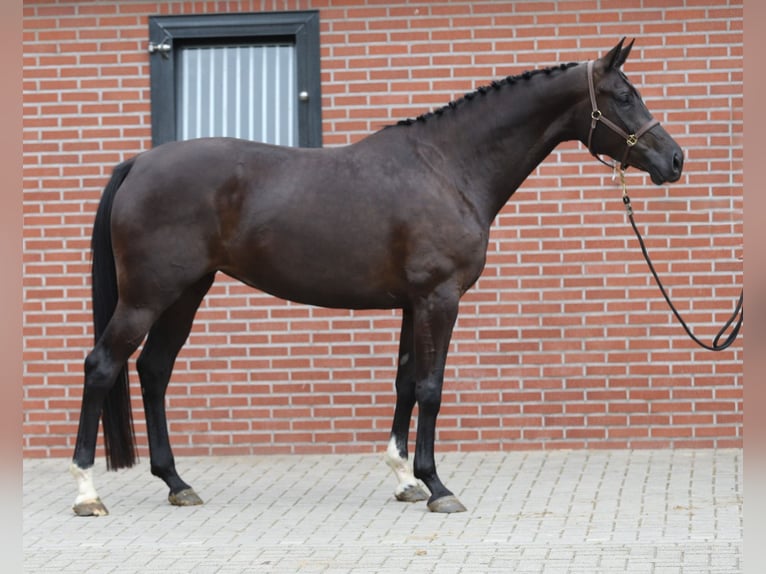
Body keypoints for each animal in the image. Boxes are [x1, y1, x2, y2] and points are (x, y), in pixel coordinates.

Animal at [70, 39, 683, 516]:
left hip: (185, 293)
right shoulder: (439, 299)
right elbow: (432, 388)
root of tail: (138, 164)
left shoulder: (413, 304)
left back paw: (177, 482)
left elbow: (406, 383)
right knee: (103, 366)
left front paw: (405, 479)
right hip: (149, 296)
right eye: (624, 96)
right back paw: (87, 492)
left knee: (153, 371)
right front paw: (437, 486)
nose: (674, 160)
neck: (449, 167)